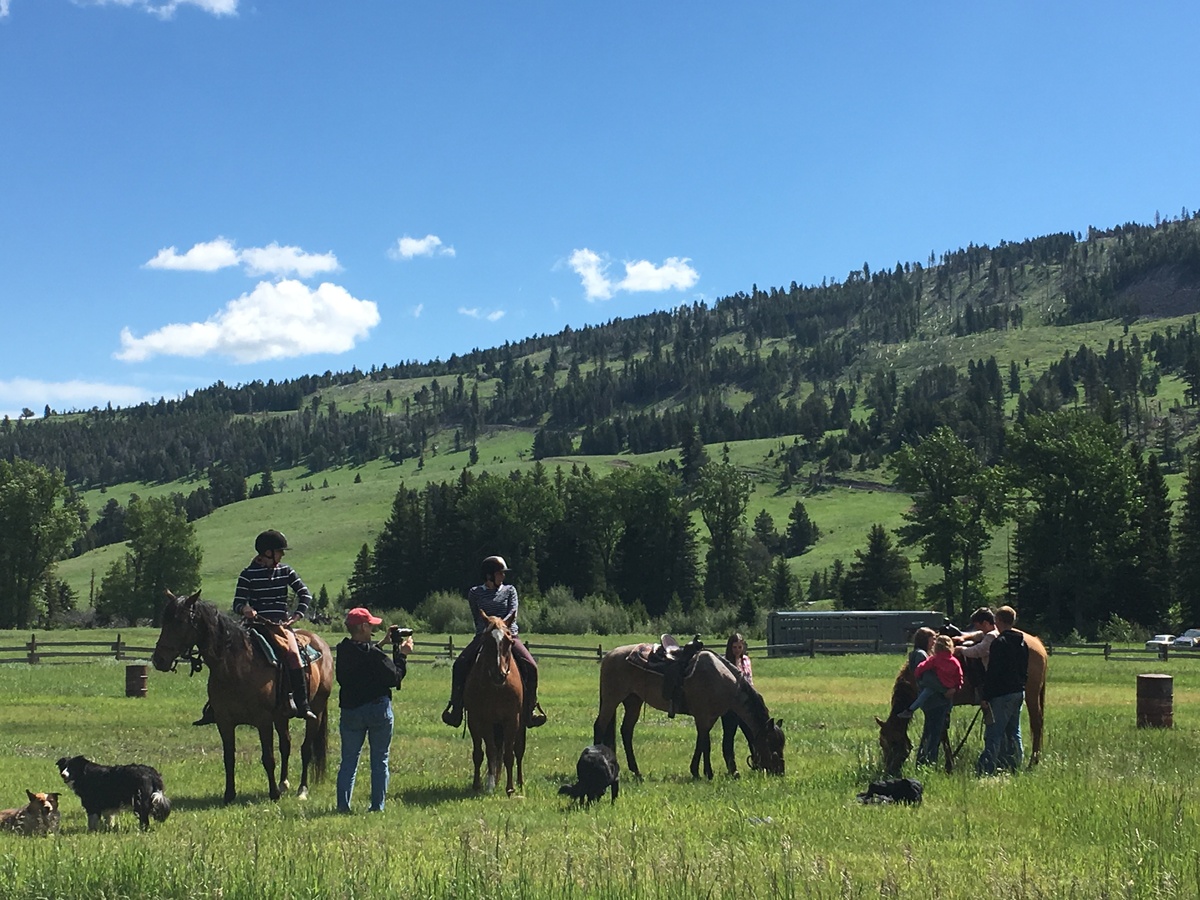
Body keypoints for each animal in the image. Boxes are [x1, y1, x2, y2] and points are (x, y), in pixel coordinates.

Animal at [150, 590, 332, 803]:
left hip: (316, 711)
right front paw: (229, 794)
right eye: (165, 620)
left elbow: (268, 758)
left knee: (305, 749)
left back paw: (302, 789)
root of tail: (321, 644)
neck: (237, 667)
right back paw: (284, 783)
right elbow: (229, 757)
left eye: (179, 622)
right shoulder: (225, 721)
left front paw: (273, 794)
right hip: (281, 717)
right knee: (286, 745)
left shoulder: (263, 721)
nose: (158, 659)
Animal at [463, 612, 526, 796]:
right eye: (486, 641)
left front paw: (510, 788)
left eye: (509, 641)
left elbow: (509, 755)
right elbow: (485, 752)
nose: (500, 675)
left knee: (518, 751)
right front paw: (484, 785)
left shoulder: (512, 719)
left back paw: (520, 783)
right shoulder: (482, 719)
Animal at [593, 644, 785, 780]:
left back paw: (637, 772)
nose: (780, 772)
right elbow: (706, 744)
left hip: (633, 701)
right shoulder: (702, 716)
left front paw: (696, 771)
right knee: (599, 726)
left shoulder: (709, 718)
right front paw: (708, 773)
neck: (720, 678)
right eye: (771, 744)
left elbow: (701, 742)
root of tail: (610, 655)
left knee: (626, 731)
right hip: (612, 700)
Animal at [876, 629, 1048, 775]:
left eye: (894, 742)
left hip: (1031, 695)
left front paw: (948, 765)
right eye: (882, 743)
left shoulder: (944, 705)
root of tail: (1038, 643)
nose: (889, 771)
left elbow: (941, 733)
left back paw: (1032, 762)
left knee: (1036, 724)